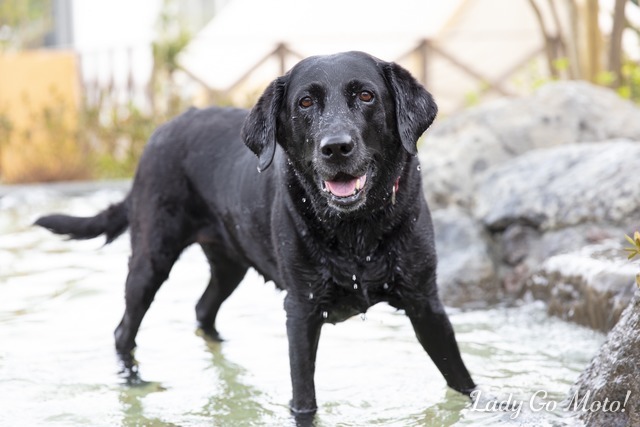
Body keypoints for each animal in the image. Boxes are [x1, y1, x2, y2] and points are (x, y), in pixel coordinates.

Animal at [35, 50, 476, 414]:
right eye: (305, 102)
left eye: (366, 96)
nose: (336, 147)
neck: (357, 232)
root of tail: (161, 131)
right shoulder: (301, 311)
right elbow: (304, 400)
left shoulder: (425, 302)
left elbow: (461, 378)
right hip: (150, 260)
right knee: (124, 330)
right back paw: (134, 382)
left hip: (231, 263)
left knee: (203, 309)